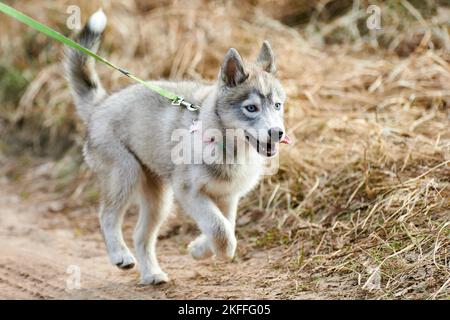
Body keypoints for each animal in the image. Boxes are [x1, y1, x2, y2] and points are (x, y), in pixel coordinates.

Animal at [63, 9, 288, 284]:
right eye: (251, 108)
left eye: (277, 105)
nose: (277, 133)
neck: (228, 146)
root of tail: (100, 105)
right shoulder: (189, 192)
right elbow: (221, 230)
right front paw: (211, 249)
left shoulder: (227, 196)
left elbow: (227, 227)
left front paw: (199, 249)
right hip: (124, 173)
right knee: (107, 215)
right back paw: (120, 255)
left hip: (159, 199)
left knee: (141, 234)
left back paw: (152, 274)